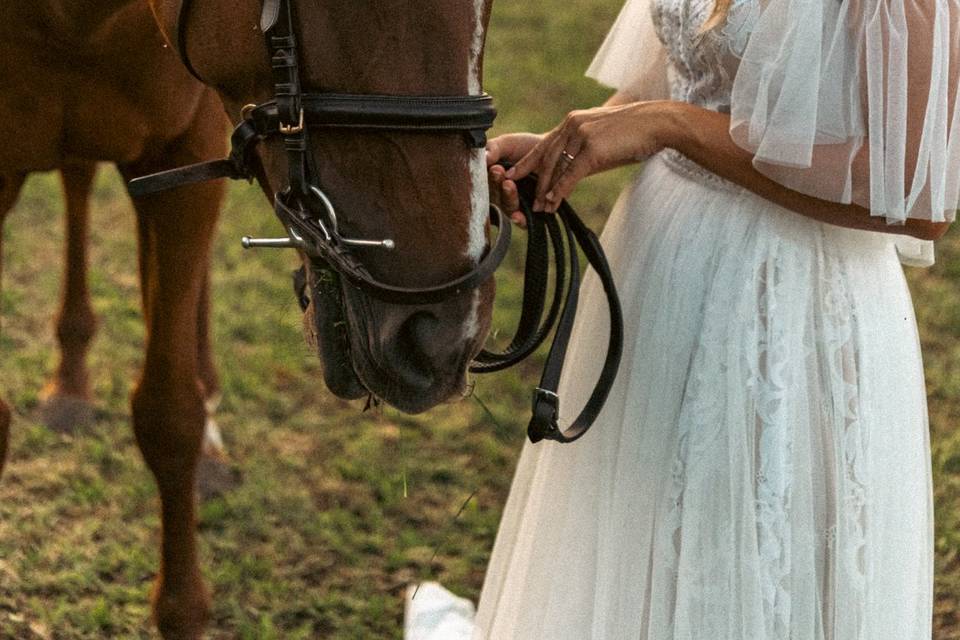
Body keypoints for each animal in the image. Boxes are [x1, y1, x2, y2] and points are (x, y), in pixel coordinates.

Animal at [0, 2, 496, 636]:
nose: (445, 332)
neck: (69, 20)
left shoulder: (183, 160)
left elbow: (170, 415)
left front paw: (182, 611)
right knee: (78, 175)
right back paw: (70, 382)